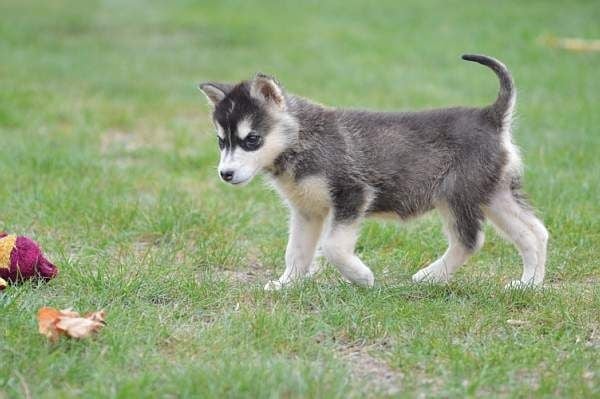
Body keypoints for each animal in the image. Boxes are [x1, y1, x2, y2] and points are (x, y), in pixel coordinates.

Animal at [198, 54, 548, 290]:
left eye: (252, 139)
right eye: (221, 141)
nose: (225, 174)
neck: (301, 137)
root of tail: (490, 115)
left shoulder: (353, 194)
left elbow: (333, 247)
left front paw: (361, 277)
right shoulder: (307, 211)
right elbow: (296, 252)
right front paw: (287, 284)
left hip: (456, 195)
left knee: (470, 240)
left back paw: (430, 276)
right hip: (495, 194)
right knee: (535, 232)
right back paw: (528, 285)